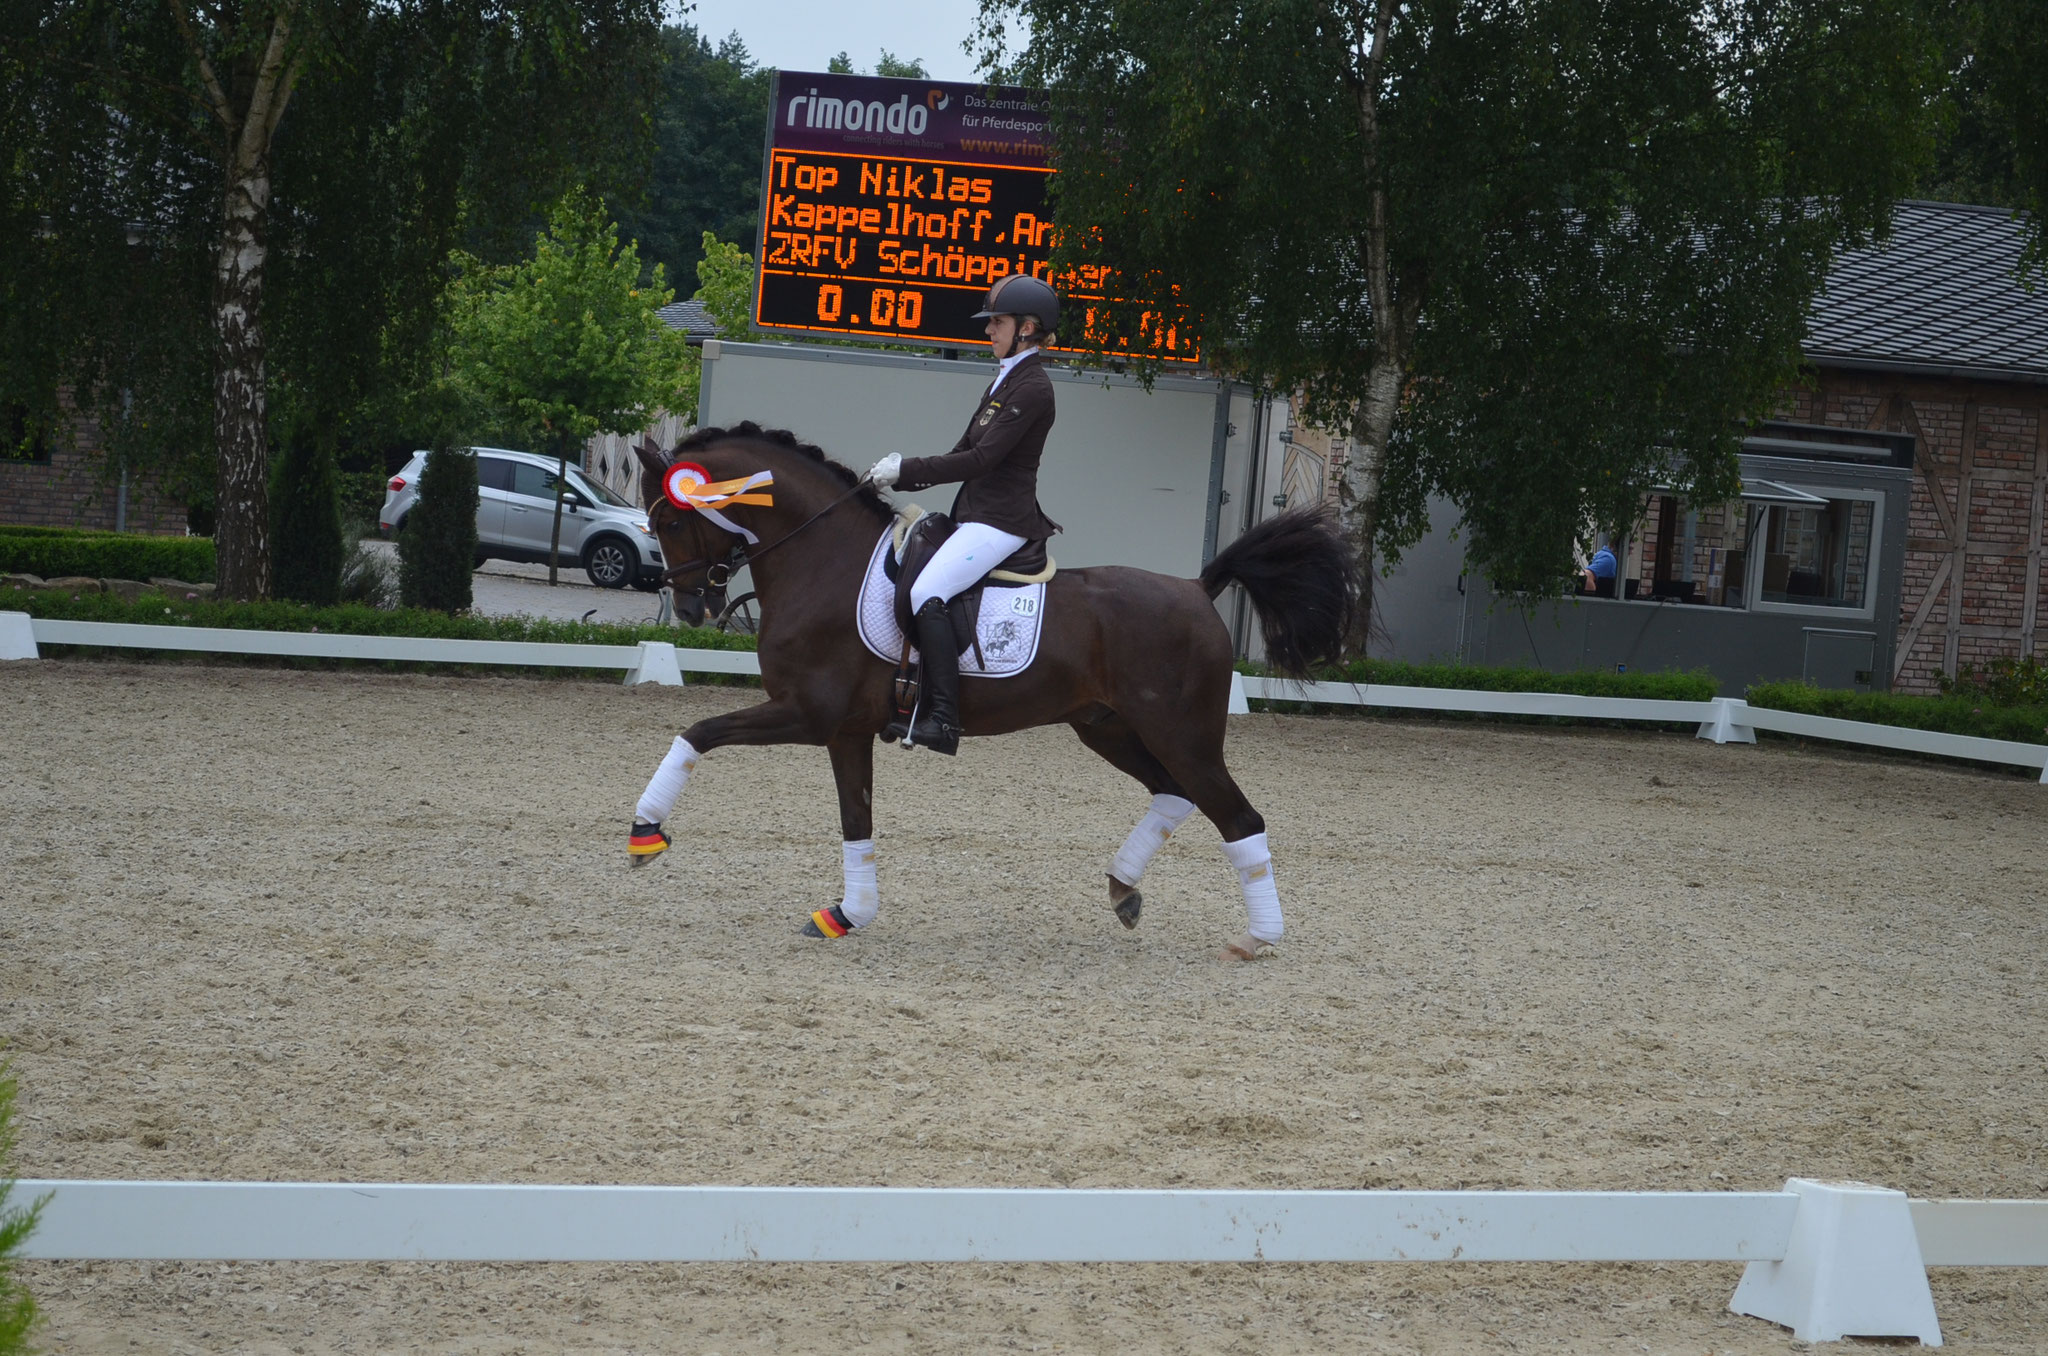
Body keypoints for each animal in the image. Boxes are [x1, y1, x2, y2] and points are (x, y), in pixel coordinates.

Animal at [622, 419, 1359, 962]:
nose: (690, 606)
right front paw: (847, 914)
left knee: (1239, 819)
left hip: (1183, 734)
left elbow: (697, 733)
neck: (822, 559)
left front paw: (645, 834)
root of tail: (1198, 589)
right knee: (1175, 795)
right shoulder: (844, 732)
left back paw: (1256, 938)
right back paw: (1123, 888)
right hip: (1109, 727)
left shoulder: (807, 714)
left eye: (673, 520)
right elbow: (856, 821)